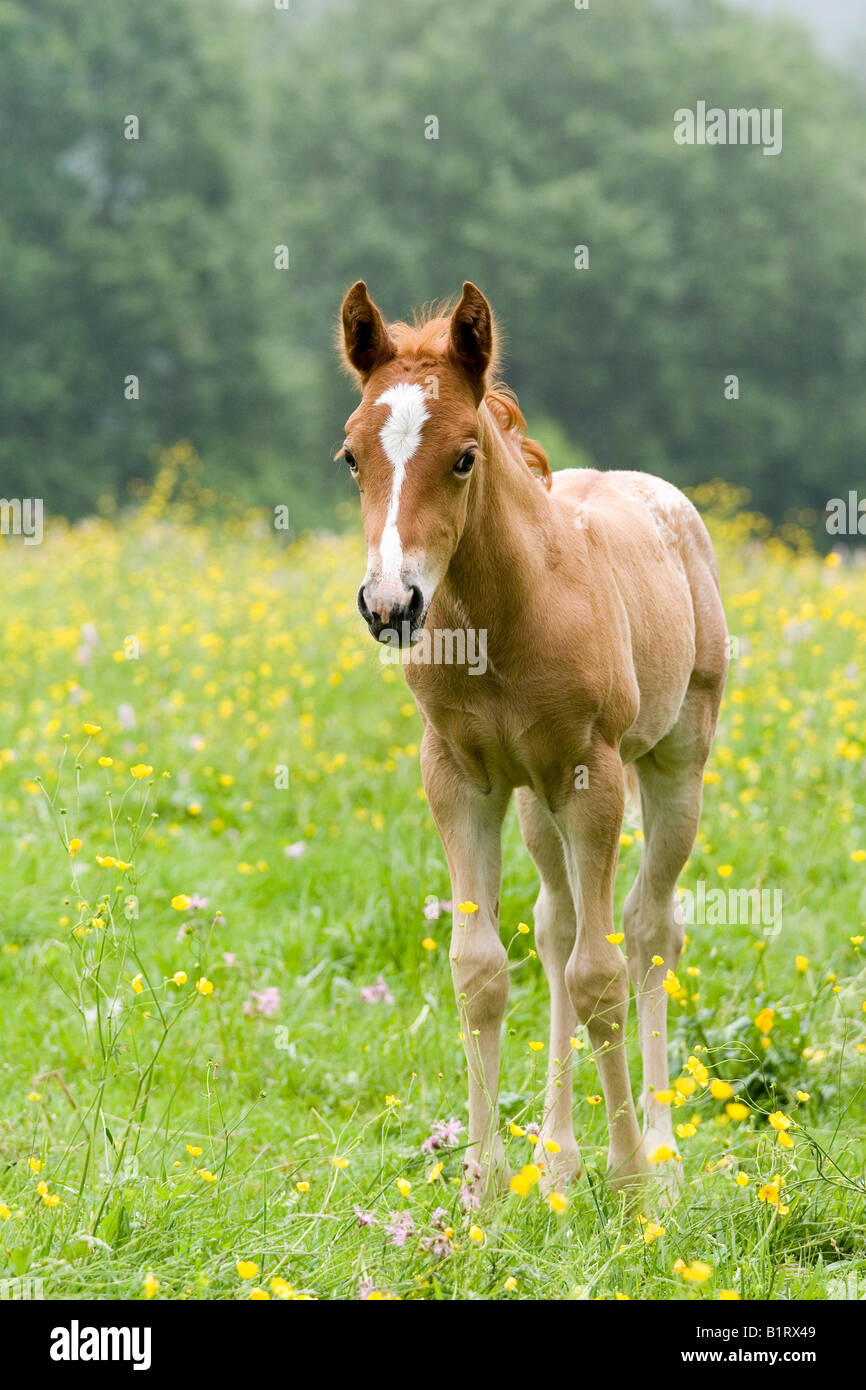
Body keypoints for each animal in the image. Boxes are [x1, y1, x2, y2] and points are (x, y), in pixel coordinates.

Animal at [340, 282, 733, 1195]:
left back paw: (661, 1156)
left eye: (463, 457)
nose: (390, 605)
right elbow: (482, 970)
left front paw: (631, 1186)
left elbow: (602, 974)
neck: (507, 615)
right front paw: (481, 1190)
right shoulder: (459, 780)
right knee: (556, 929)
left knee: (648, 930)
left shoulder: (593, 776)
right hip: (534, 804)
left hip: (673, 764)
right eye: (350, 458)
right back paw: (554, 1163)